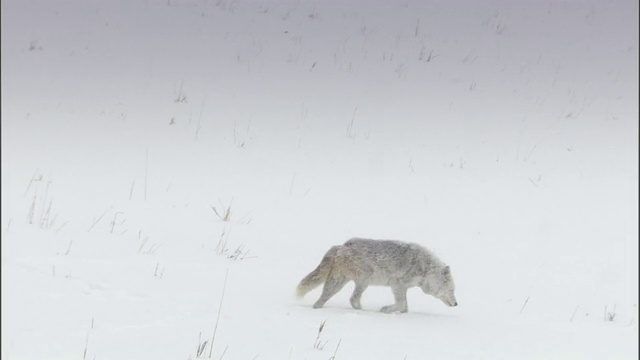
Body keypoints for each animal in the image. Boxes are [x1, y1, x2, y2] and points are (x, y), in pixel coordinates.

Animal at [298, 239, 458, 312]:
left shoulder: (403, 288)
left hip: (340, 283)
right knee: (353, 299)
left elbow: (404, 307)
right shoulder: (396, 284)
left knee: (324, 298)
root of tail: (341, 246)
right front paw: (385, 310)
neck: (424, 268)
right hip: (364, 280)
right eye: (451, 290)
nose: (457, 304)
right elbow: (401, 304)